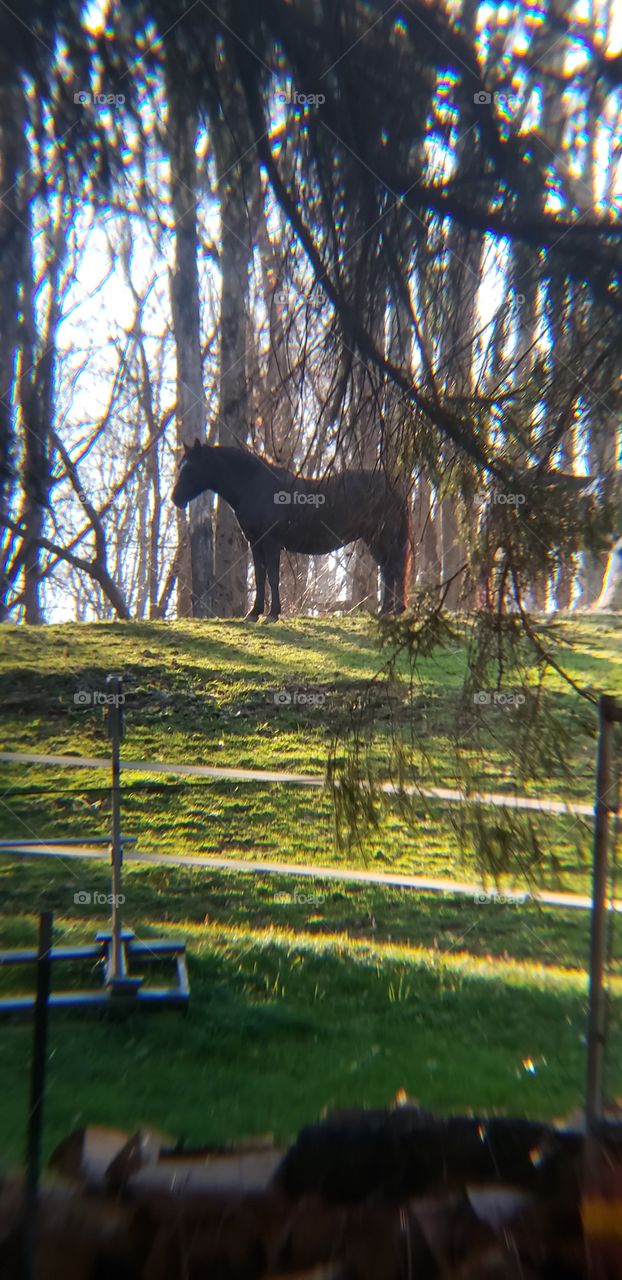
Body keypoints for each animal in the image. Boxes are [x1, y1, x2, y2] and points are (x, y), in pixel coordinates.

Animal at [172, 440, 410, 621]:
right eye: (180, 466)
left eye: (190, 467)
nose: (175, 499)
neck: (255, 486)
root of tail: (395, 486)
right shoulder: (255, 542)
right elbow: (260, 576)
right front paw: (254, 613)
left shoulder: (271, 542)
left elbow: (272, 576)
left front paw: (273, 614)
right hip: (374, 539)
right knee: (388, 570)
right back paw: (386, 611)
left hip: (385, 537)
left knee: (394, 569)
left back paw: (394, 611)